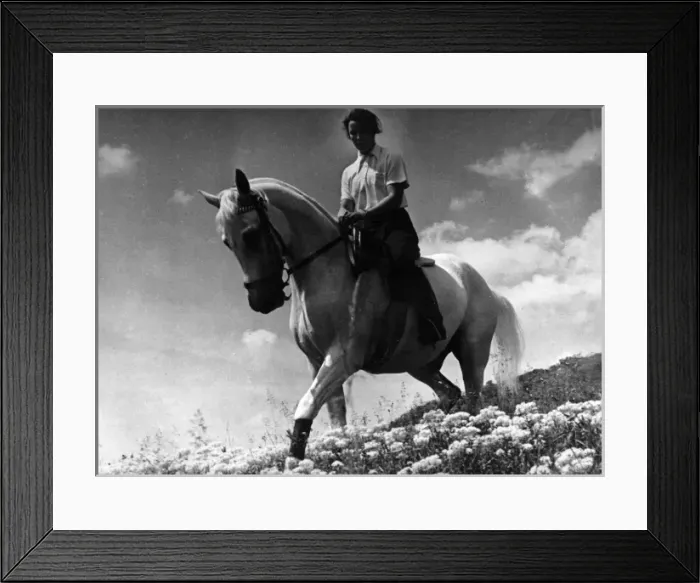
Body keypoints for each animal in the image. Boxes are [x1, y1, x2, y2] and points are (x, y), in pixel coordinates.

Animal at [199, 169, 524, 461]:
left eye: (251, 234)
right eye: (227, 242)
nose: (262, 300)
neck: (328, 271)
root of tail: (484, 285)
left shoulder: (343, 358)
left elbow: (306, 407)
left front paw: (294, 463)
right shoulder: (317, 361)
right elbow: (335, 420)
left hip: (472, 349)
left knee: (473, 394)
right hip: (419, 362)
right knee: (450, 393)